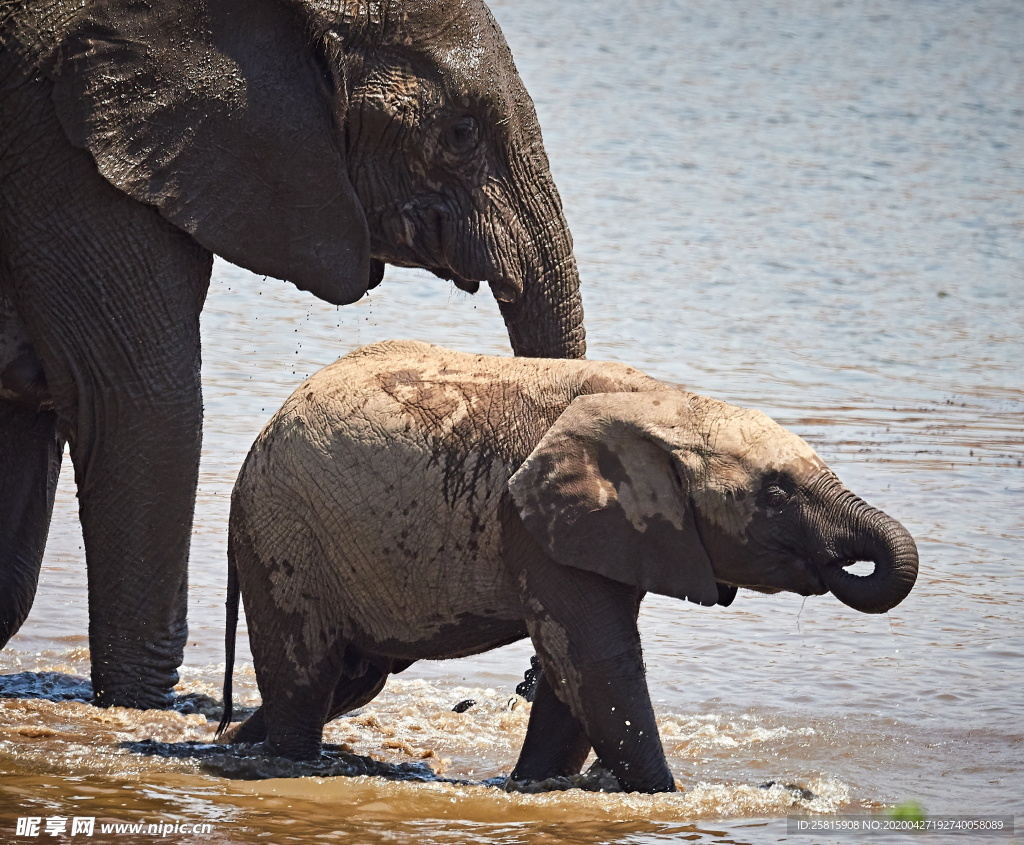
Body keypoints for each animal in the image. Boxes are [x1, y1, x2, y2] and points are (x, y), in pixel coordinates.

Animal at [218, 338, 921, 790]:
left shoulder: (611, 533)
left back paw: (233, 746)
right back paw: (286, 765)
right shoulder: (530, 518)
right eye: (776, 495)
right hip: (283, 527)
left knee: (352, 678)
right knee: (309, 673)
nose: (838, 565)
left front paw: (536, 784)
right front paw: (667, 795)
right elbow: (596, 659)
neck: (670, 404)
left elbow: (571, 672)